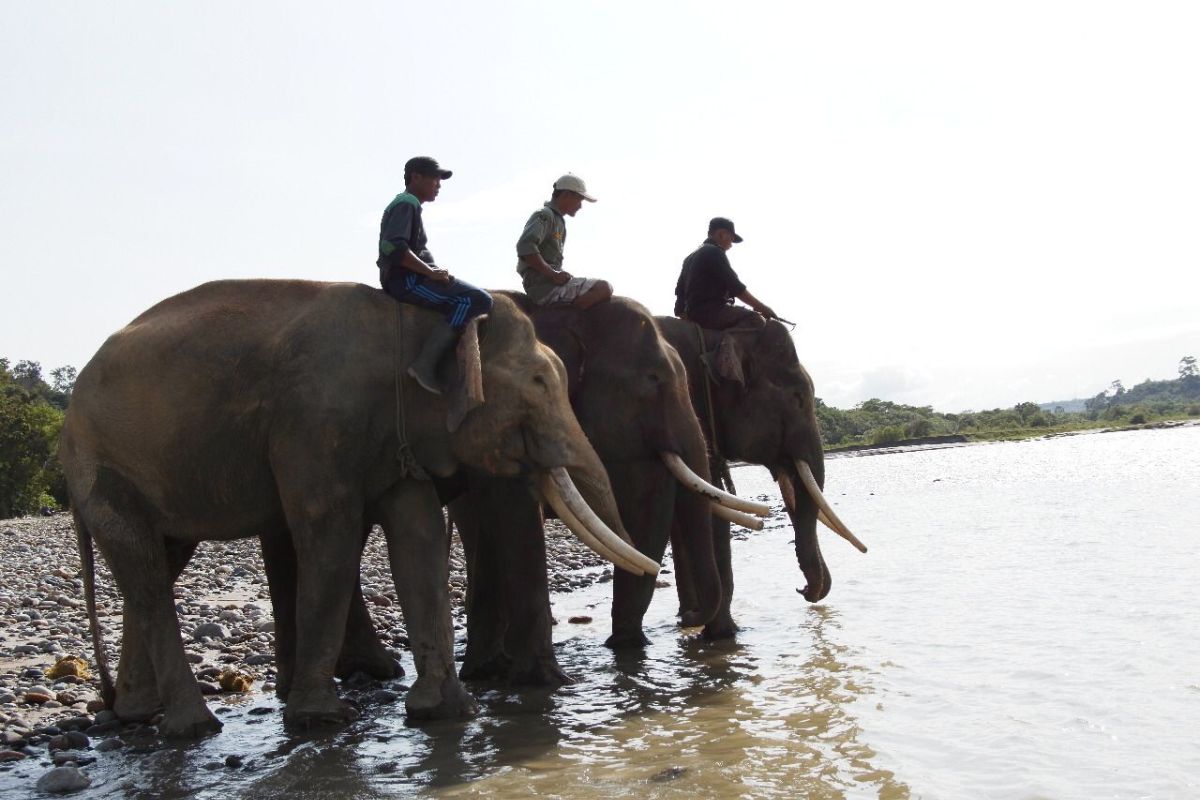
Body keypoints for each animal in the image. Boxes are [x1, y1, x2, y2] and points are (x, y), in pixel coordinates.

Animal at [58, 280, 657, 738]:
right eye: (538, 383)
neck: (414, 319)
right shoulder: (314, 424)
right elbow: (331, 537)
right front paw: (321, 720)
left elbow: (419, 537)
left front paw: (446, 713)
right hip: (102, 467)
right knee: (146, 571)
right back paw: (194, 727)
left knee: (160, 561)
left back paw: (136, 713)